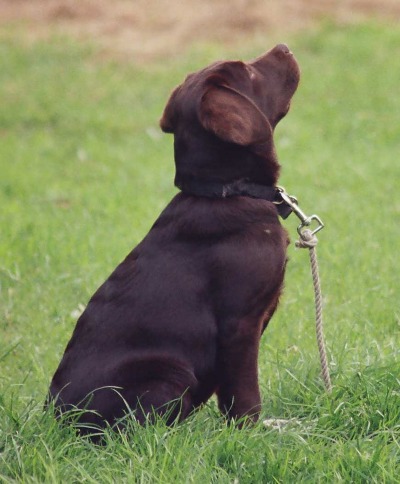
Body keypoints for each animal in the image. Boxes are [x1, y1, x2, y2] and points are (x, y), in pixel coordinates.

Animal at [47, 44, 300, 432]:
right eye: (248, 70)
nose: (284, 47)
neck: (224, 190)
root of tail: (57, 420)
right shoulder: (239, 324)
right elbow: (244, 392)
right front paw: (253, 433)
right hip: (169, 372)